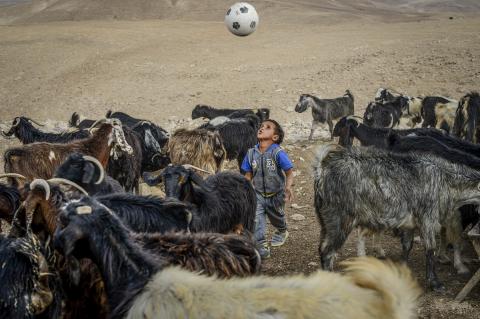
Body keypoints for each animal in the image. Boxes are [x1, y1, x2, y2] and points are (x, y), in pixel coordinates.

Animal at [314, 144, 480, 290]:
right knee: (328, 251)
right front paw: (435, 283)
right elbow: (430, 249)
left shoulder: (409, 223)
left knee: (322, 247)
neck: (446, 180)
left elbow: (407, 246)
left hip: (325, 222)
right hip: (340, 220)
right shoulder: (428, 219)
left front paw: (402, 271)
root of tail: (322, 170)